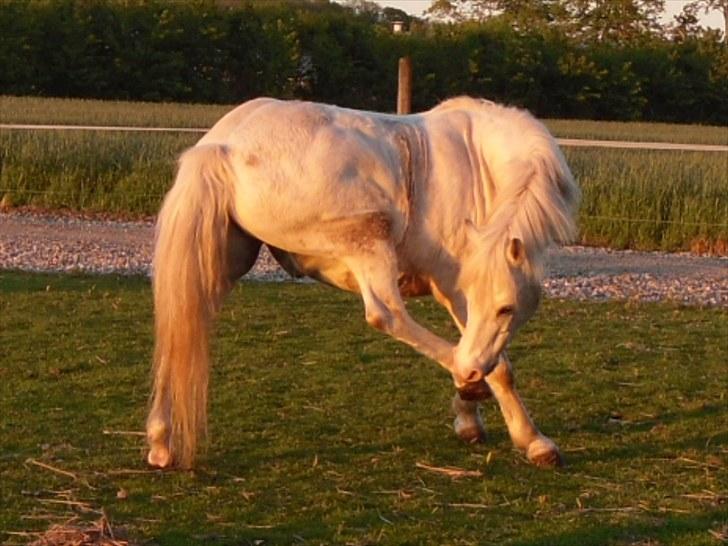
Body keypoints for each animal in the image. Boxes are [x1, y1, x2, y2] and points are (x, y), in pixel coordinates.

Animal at [148, 96, 580, 468]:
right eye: (504, 307)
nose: (471, 371)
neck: (480, 167)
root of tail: (222, 146)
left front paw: (470, 416)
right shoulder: (455, 290)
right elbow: (500, 367)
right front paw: (532, 440)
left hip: (221, 261)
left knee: (181, 324)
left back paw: (160, 441)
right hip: (369, 240)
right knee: (386, 314)